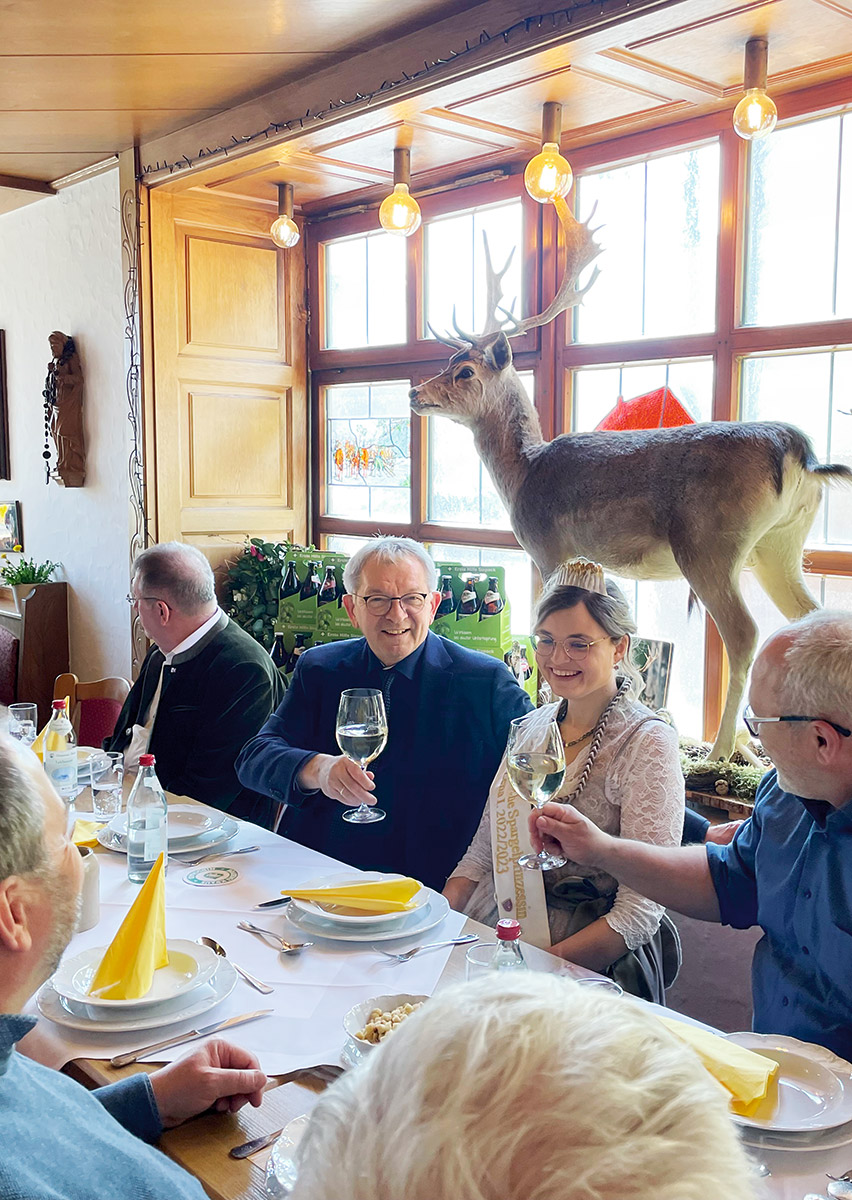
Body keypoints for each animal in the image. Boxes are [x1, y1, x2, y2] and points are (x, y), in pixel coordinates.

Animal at [410, 196, 849, 758]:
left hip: (710, 544)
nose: (415, 392)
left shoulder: (548, 546)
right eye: (448, 360)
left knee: (745, 633)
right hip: (783, 545)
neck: (523, 473)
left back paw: (722, 749)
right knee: (810, 617)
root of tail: (800, 453)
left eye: (465, 370)